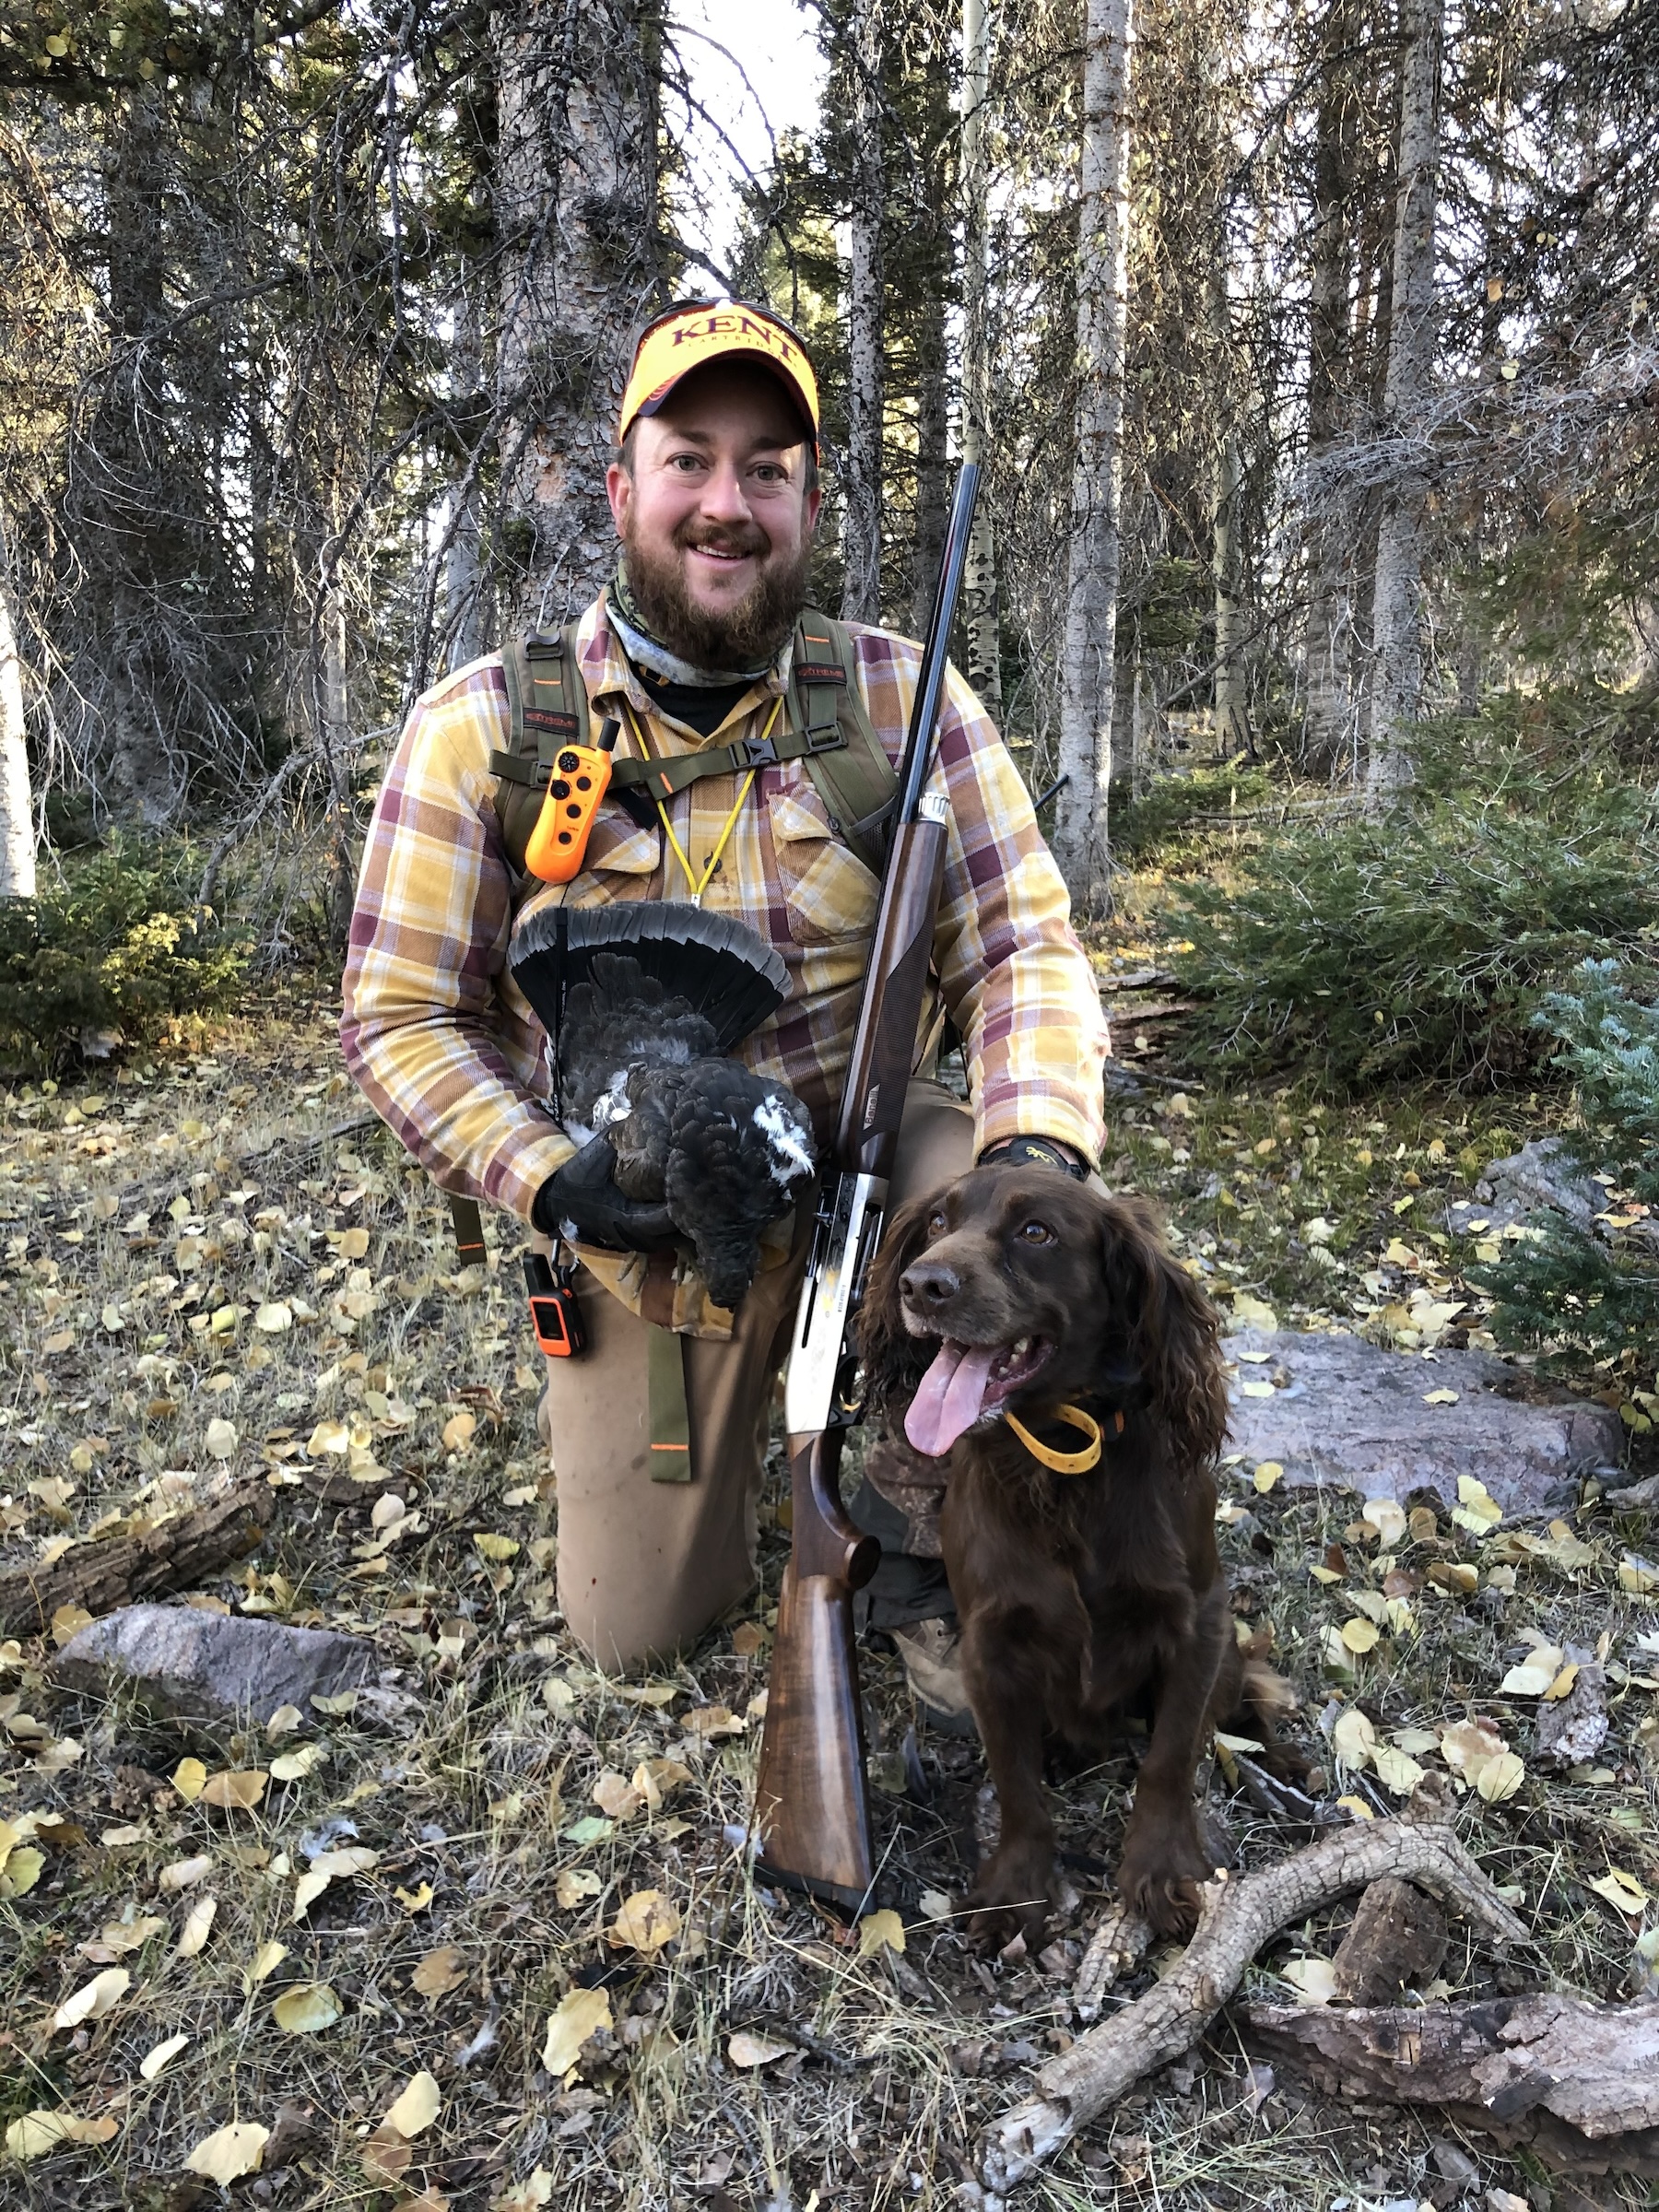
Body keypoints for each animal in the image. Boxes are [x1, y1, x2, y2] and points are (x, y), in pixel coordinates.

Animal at [863, 1168, 1309, 1947]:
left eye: (1036, 1231)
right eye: (937, 1221)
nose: (922, 1285)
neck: (1063, 1456)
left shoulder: (1198, 1623)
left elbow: (1170, 1758)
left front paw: (1163, 1870)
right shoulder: (991, 1647)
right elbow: (1016, 1782)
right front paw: (1017, 1887)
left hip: (1226, 1655)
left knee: (1238, 1704)